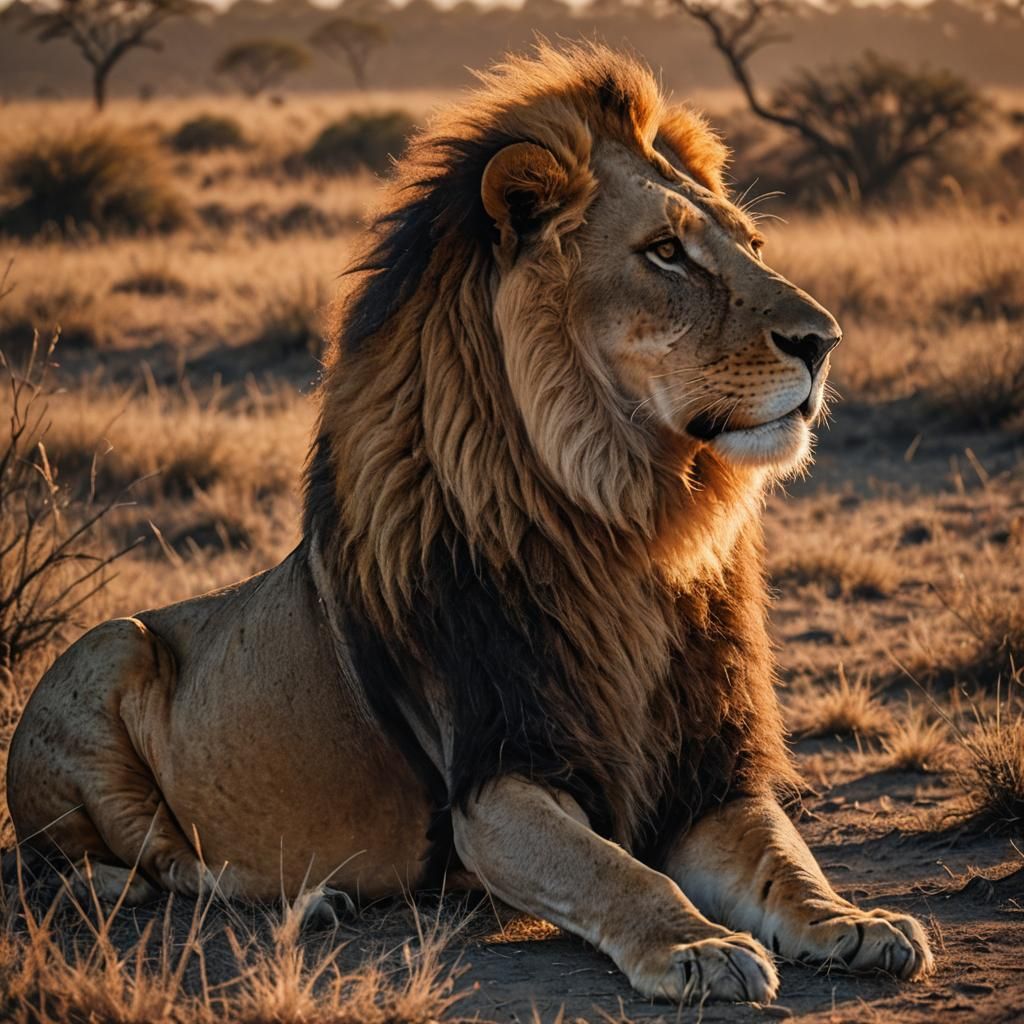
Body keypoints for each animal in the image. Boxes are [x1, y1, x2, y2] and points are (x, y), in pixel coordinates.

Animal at [5, 43, 933, 1004]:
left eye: (750, 247)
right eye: (666, 252)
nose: (824, 341)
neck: (633, 527)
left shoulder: (711, 779)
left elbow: (789, 862)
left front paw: (859, 923)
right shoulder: (492, 784)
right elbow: (621, 873)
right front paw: (699, 945)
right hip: (111, 649)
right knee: (144, 869)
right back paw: (309, 896)